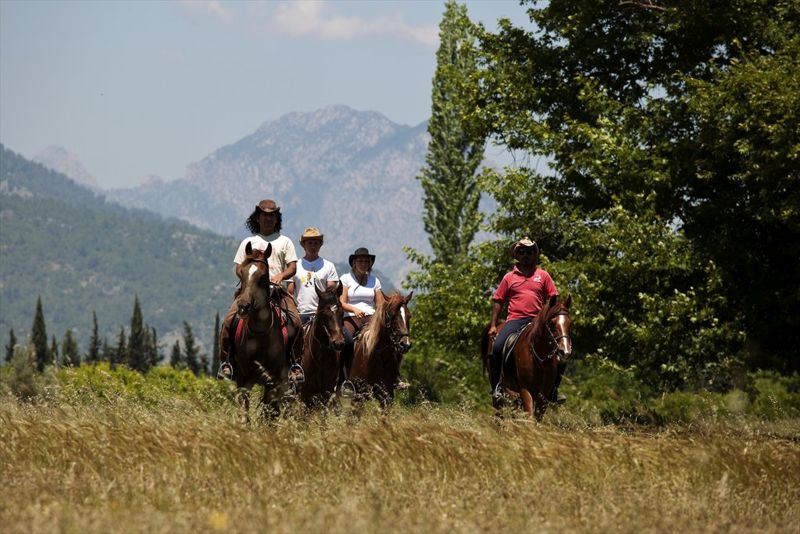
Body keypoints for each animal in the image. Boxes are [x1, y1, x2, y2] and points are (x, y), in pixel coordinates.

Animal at [230, 242, 290, 422]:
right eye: (241, 273)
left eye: (263, 276)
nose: (243, 306)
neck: (259, 335)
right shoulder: (243, 380)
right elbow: (244, 414)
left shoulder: (272, 382)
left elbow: (269, 415)